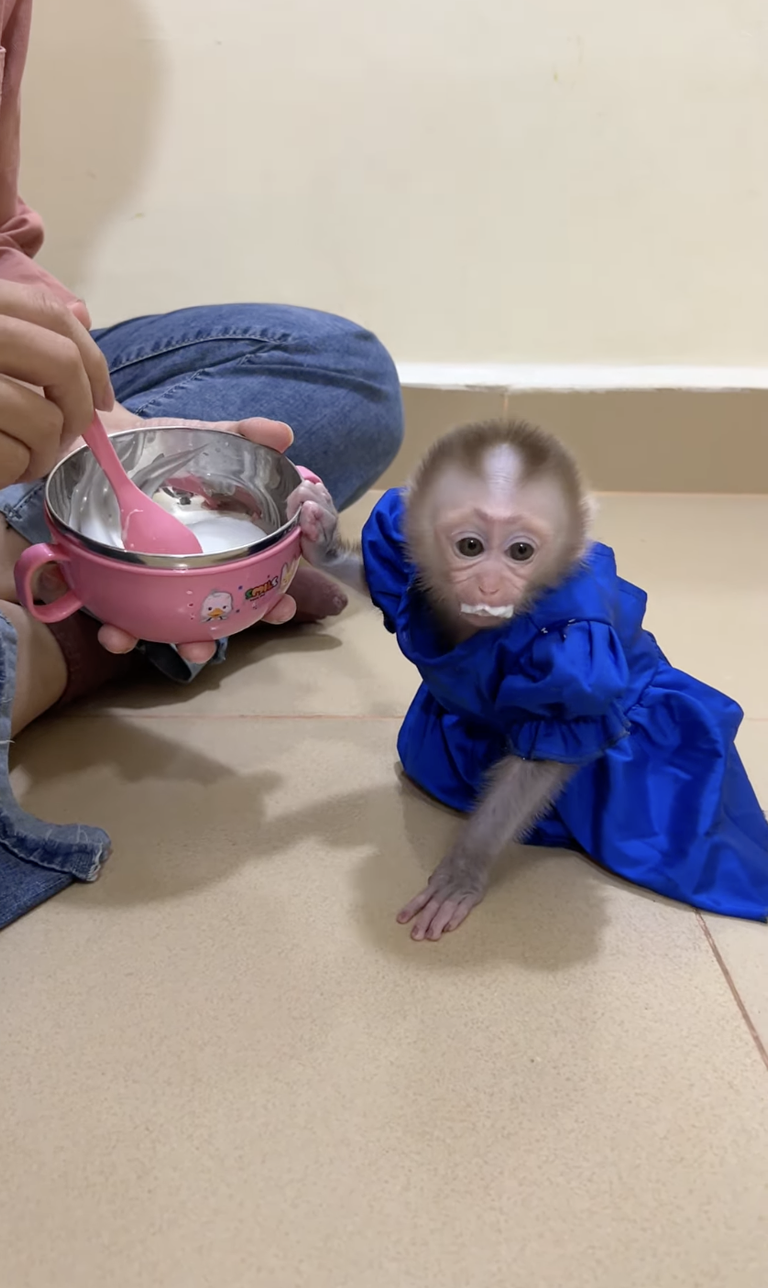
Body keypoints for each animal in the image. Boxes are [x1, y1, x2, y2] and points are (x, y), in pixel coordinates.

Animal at [287, 419, 768, 942]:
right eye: (471, 546)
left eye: (521, 551)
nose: (490, 585)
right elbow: (383, 581)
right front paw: (322, 541)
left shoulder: (574, 650)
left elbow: (547, 751)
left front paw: (463, 871)